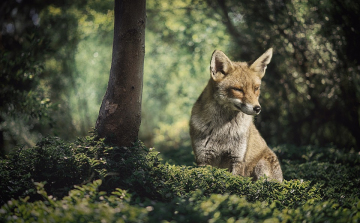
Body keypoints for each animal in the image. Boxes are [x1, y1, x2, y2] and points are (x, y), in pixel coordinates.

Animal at [190, 48, 282, 182]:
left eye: (256, 88)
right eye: (238, 90)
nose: (257, 108)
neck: (222, 131)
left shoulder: (237, 159)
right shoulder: (203, 159)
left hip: (261, 167)